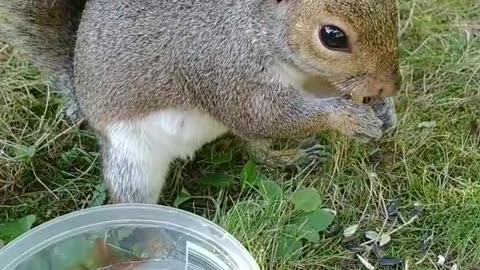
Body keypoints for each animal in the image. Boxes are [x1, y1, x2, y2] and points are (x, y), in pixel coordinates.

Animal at [0, 0, 402, 202]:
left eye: (392, 9)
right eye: (332, 36)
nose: (391, 86)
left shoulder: (308, 75)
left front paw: (384, 112)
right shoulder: (223, 70)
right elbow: (263, 115)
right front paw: (350, 119)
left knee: (255, 149)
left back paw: (286, 157)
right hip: (130, 157)